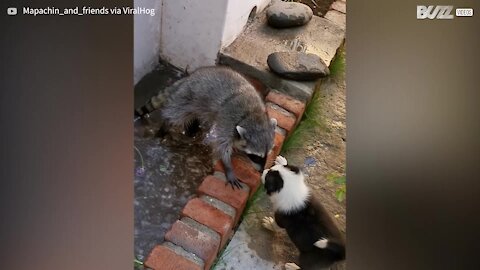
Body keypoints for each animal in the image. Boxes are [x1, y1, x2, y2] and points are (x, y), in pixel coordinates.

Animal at [139, 66, 276, 188]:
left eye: (266, 155)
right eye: (255, 156)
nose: (261, 171)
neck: (253, 116)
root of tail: (189, 77)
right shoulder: (227, 120)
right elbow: (222, 146)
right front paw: (228, 167)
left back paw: (192, 129)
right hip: (188, 96)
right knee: (177, 115)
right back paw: (165, 127)